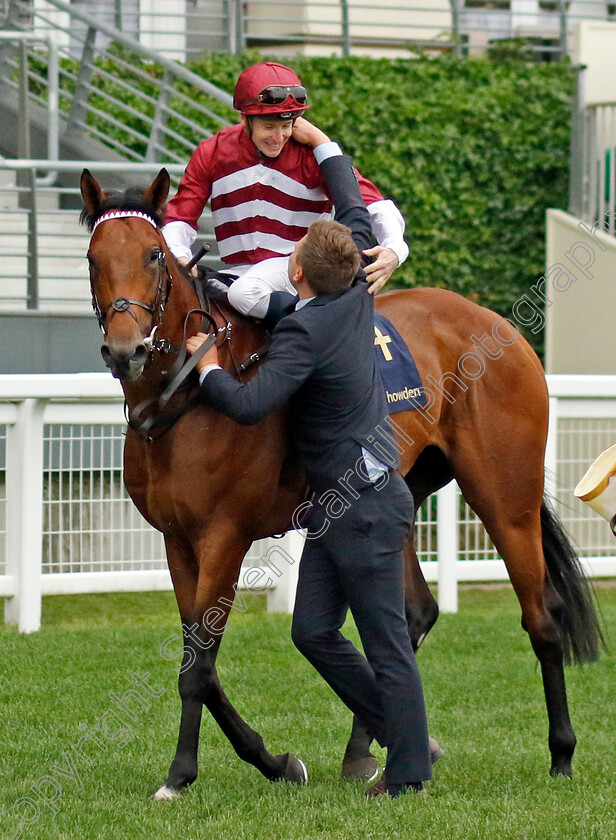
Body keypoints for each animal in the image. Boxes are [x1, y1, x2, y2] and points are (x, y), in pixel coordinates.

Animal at [79, 167, 604, 796]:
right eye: (93, 258)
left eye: (154, 254)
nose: (126, 349)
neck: (182, 399)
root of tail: (498, 323)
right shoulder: (177, 541)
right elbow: (195, 660)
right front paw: (273, 760)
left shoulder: (225, 536)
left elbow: (200, 663)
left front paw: (181, 774)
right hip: (404, 492)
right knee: (413, 615)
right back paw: (373, 749)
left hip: (506, 497)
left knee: (541, 615)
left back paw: (561, 752)